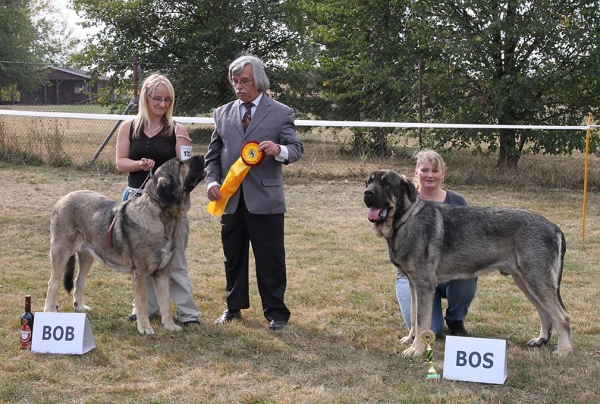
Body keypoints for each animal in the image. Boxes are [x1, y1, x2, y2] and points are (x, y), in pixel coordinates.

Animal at [360, 169, 572, 358]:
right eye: (368, 182)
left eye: (387, 183)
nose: (367, 193)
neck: (405, 219)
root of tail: (554, 227)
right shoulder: (414, 286)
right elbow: (413, 316)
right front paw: (411, 339)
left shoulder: (424, 286)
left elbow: (421, 322)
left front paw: (416, 349)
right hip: (525, 281)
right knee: (545, 312)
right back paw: (541, 340)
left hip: (536, 281)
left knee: (562, 316)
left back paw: (564, 350)